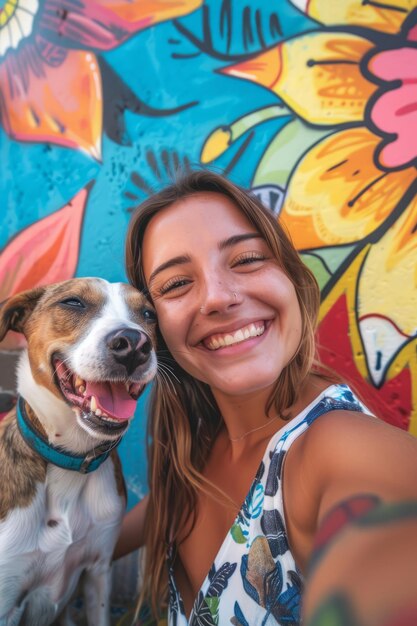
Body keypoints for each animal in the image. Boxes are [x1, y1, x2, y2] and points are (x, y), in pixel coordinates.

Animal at [0, 278, 158, 624]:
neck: (69, 460)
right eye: (73, 303)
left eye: (148, 313)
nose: (133, 344)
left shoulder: (98, 570)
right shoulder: (8, 597)